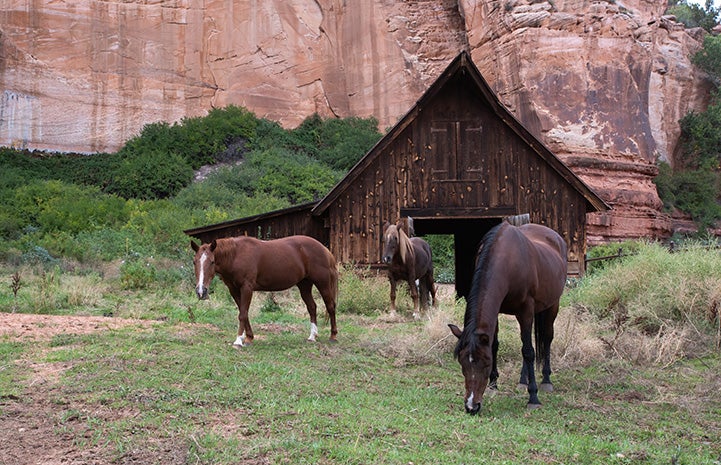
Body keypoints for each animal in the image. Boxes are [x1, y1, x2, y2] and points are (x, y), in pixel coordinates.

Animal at [190, 236, 338, 344]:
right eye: (194, 261)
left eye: (212, 262)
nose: (201, 291)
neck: (236, 255)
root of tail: (325, 250)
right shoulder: (234, 289)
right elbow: (243, 312)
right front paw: (248, 337)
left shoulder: (247, 288)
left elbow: (242, 314)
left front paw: (238, 341)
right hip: (304, 285)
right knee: (312, 307)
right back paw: (312, 336)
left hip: (323, 284)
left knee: (330, 306)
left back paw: (333, 336)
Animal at [448, 221, 564, 414]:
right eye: (462, 364)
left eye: (485, 364)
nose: (471, 406)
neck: (508, 260)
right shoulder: (497, 311)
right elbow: (496, 345)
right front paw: (493, 385)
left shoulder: (526, 310)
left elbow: (529, 351)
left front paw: (533, 397)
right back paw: (523, 381)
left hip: (552, 304)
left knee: (546, 338)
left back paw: (546, 380)